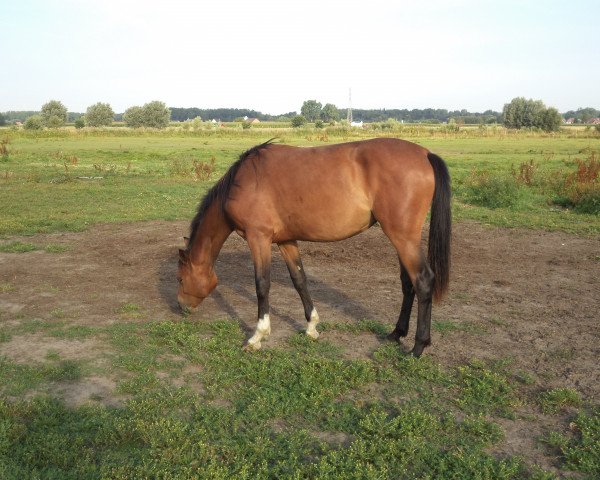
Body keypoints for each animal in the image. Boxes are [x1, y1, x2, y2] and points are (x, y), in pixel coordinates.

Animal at [177, 138, 450, 356]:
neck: (241, 183)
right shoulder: (286, 241)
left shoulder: (259, 238)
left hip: (402, 238)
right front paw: (311, 327)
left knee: (423, 281)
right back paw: (396, 333)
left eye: (180, 278)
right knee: (408, 284)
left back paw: (418, 347)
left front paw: (257, 336)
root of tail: (426, 154)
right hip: (401, 240)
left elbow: (262, 285)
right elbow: (299, 280)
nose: (181, 306)